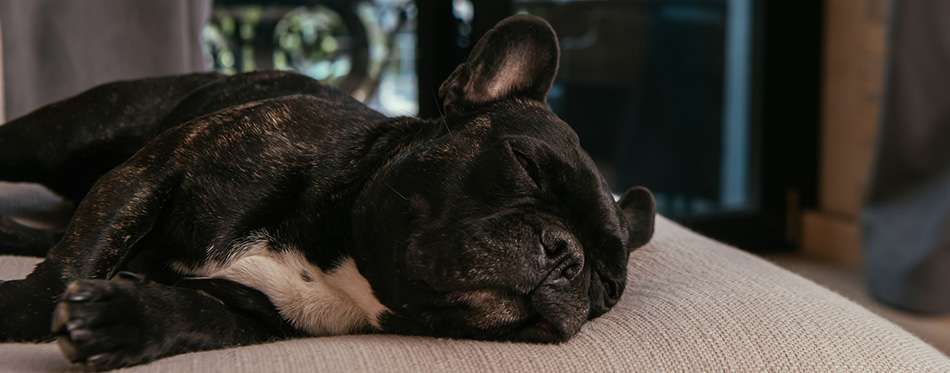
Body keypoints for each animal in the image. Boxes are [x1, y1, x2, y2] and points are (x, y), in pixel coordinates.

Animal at [0, 15, 656, 370]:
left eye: (607, 285)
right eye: (525, 164)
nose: (567, 255)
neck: (343, 256)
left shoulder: (255, 314)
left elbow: (195, 315)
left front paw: (120, 321)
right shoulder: (152, 173)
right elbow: (73, 265)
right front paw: (23, 316)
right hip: (68, 133)